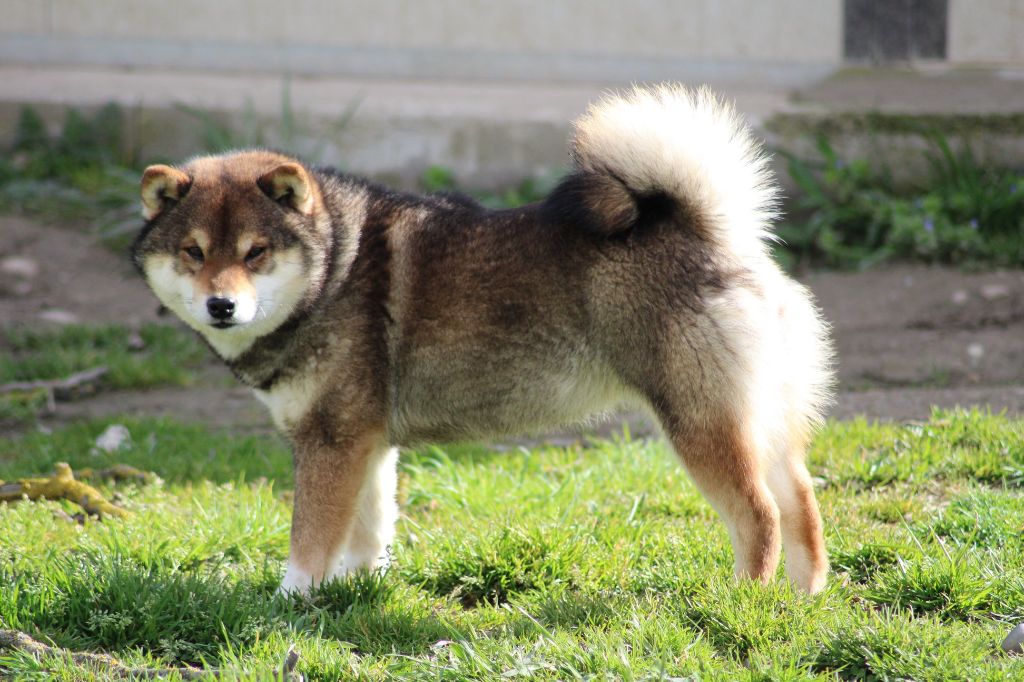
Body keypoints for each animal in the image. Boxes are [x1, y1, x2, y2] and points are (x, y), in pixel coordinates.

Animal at [130, 84, 831, 593]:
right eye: (194, 252)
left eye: (256, 252)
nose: (222, 305)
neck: (334, 271)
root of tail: (713, 232)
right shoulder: (365, 444)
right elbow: (366, 535)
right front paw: (354, 593)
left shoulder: (329, 443)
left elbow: (310, 541)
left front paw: (292, 603)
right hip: (761, 422)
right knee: (800, 503)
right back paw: (797, 601)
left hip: (699, 424)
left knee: (761, 516)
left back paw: (742, 598)